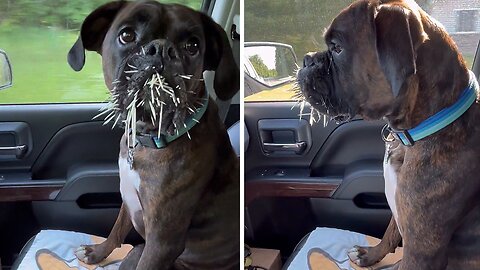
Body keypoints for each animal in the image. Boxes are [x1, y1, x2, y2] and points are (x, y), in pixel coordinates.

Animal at [66, 1, 240, 268]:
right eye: (126, 35)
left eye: (193, 46)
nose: (161, 49)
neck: (148, 139)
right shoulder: (128, 197)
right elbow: (117, 229)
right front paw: (96, 252)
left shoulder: (161, 243)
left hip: (139, 251)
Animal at [296, 0, 480, 270]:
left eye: (337, 48)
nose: (307, 59)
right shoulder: (400, 207)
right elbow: (390, 232)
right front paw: (369, 254)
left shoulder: (422, 248)